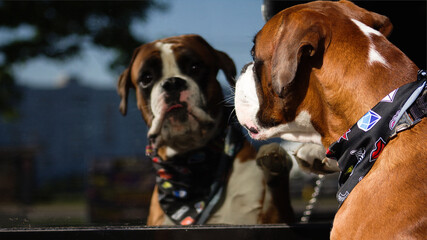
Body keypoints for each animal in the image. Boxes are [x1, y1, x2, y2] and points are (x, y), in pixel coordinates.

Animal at [118, 34, 296, 226]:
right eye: (146, 78)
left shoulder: (271, 219)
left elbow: (278, 202)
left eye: (195, 67)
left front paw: (276, 164)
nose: (172, 82)